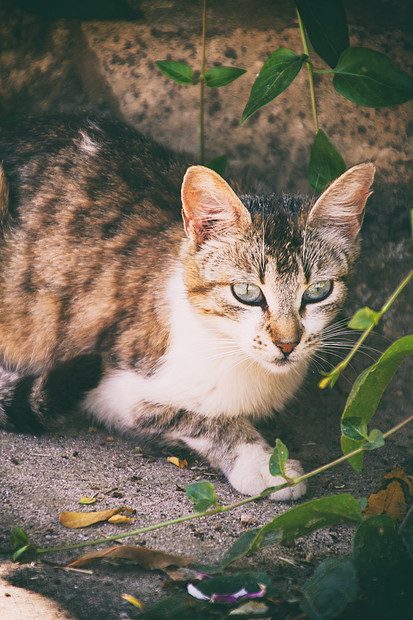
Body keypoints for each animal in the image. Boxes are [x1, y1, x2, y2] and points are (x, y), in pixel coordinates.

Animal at [0, 116, 374, 502]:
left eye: (318, 290)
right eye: (246, 292)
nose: (287, 344)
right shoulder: (113, 387)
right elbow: (199, 417)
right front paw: (264, 464)